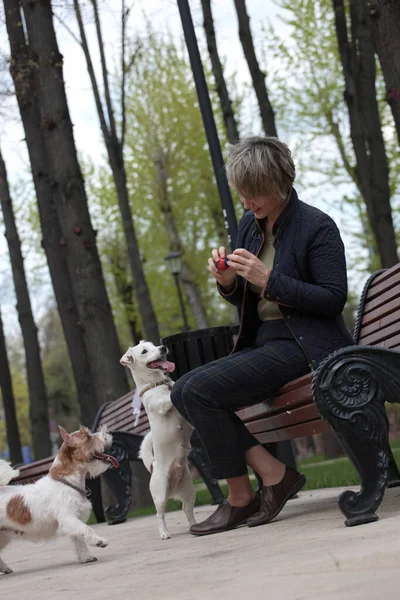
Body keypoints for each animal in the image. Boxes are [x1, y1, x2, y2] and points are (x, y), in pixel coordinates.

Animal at [0, 424, 119, 576]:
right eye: (87, 437)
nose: (108, 433)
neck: (66, 482)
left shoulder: (74, 521)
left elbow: (79, 540)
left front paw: (85, 557)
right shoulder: (69, 518)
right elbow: (86, 530)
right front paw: (99, 541)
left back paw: (5, 568)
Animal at [119, 340, 196, 540]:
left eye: (153, 345)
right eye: (145, 351)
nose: (163, 348)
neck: (157, 383)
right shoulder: (161, 404)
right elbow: (169, 398)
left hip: (189, 490)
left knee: (187, 509)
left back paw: (195, 525)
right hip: (160, 494)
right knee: (159, 515)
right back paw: (164, 533)